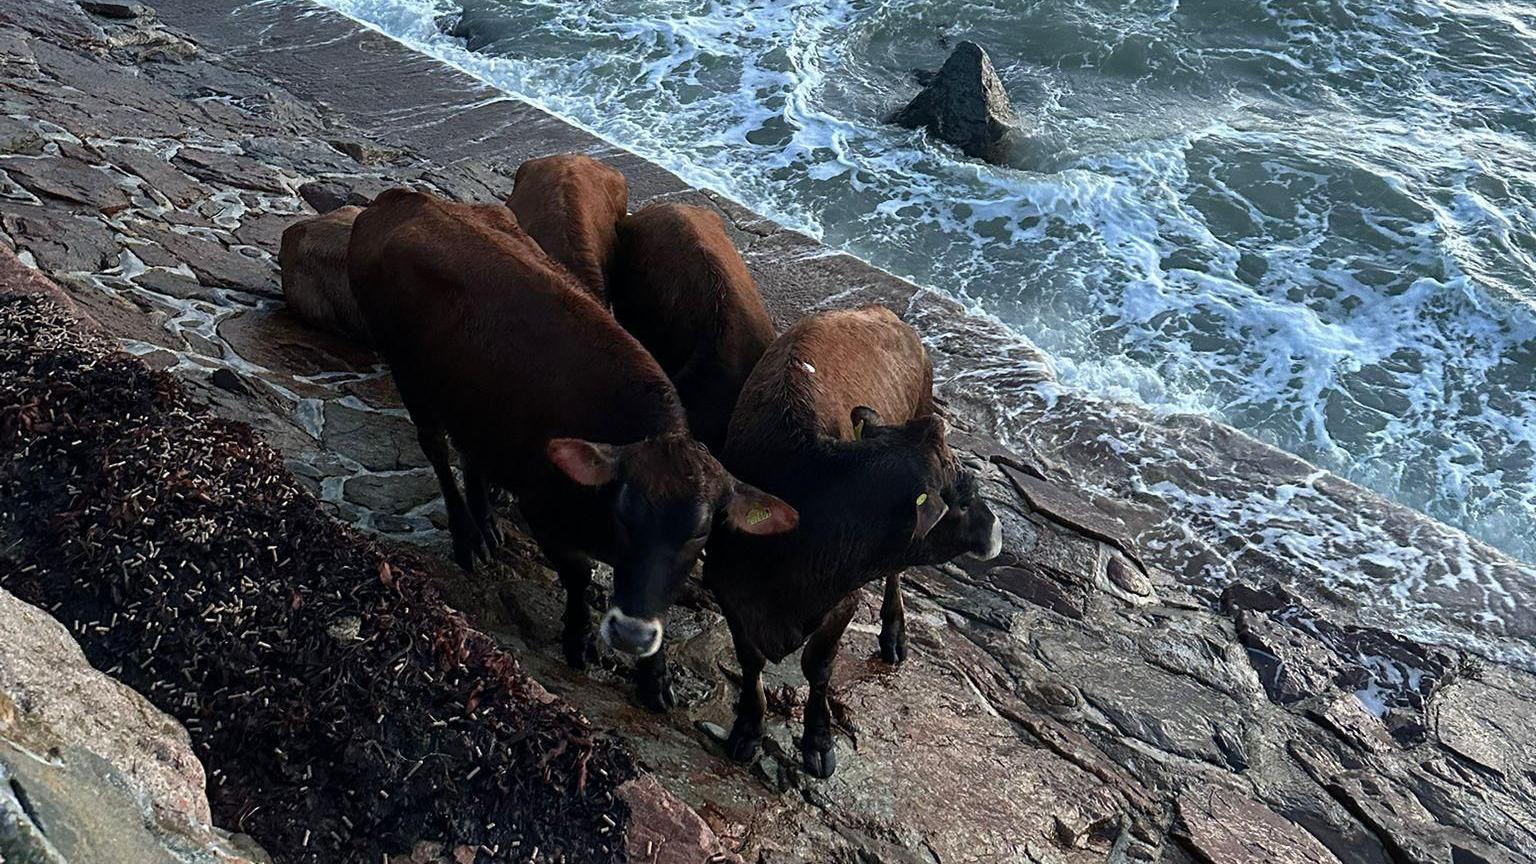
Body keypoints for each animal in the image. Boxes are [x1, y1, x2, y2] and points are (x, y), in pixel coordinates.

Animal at [703, 305, 1001, 777]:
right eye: (966, 495)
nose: (995, 528)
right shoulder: (729, 590)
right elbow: (750, 661)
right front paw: (748, 728)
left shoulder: (844, 599)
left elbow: (818, 667)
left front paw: (818, 740)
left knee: (896, 574)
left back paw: (894, 632)